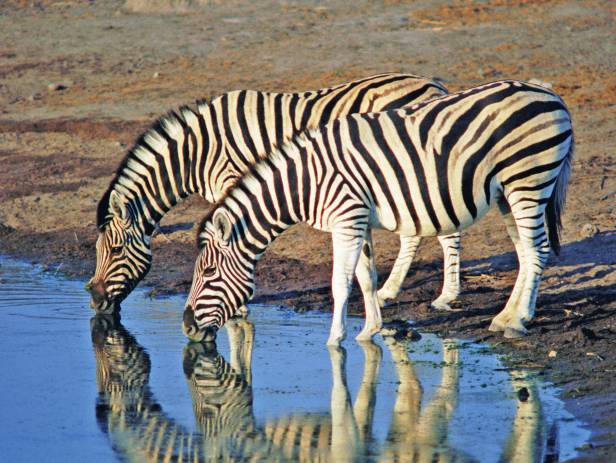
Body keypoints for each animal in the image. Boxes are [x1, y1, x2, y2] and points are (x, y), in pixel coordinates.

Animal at [86, 74, 462, 318]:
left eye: (115, 250)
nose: (94, 300)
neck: (196, 152)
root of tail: (434, 85)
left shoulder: (232, 179)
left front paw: (237, 305)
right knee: (415, 231)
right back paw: (389, 291)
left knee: (447, 230)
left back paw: (446, 297)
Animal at [185, 80, 576, 344]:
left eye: (208, 272)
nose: (186, 326)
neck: (306, 181)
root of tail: (549, 93)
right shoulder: (358, 221)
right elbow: (367, 276)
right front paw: (370, 330)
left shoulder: (346, 220)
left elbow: (340, 282)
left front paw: (335, 340)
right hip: (508, 192)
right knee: (525, 252)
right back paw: (506, 316)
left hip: (529, 180)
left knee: (537, 250)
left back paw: (519, 321)